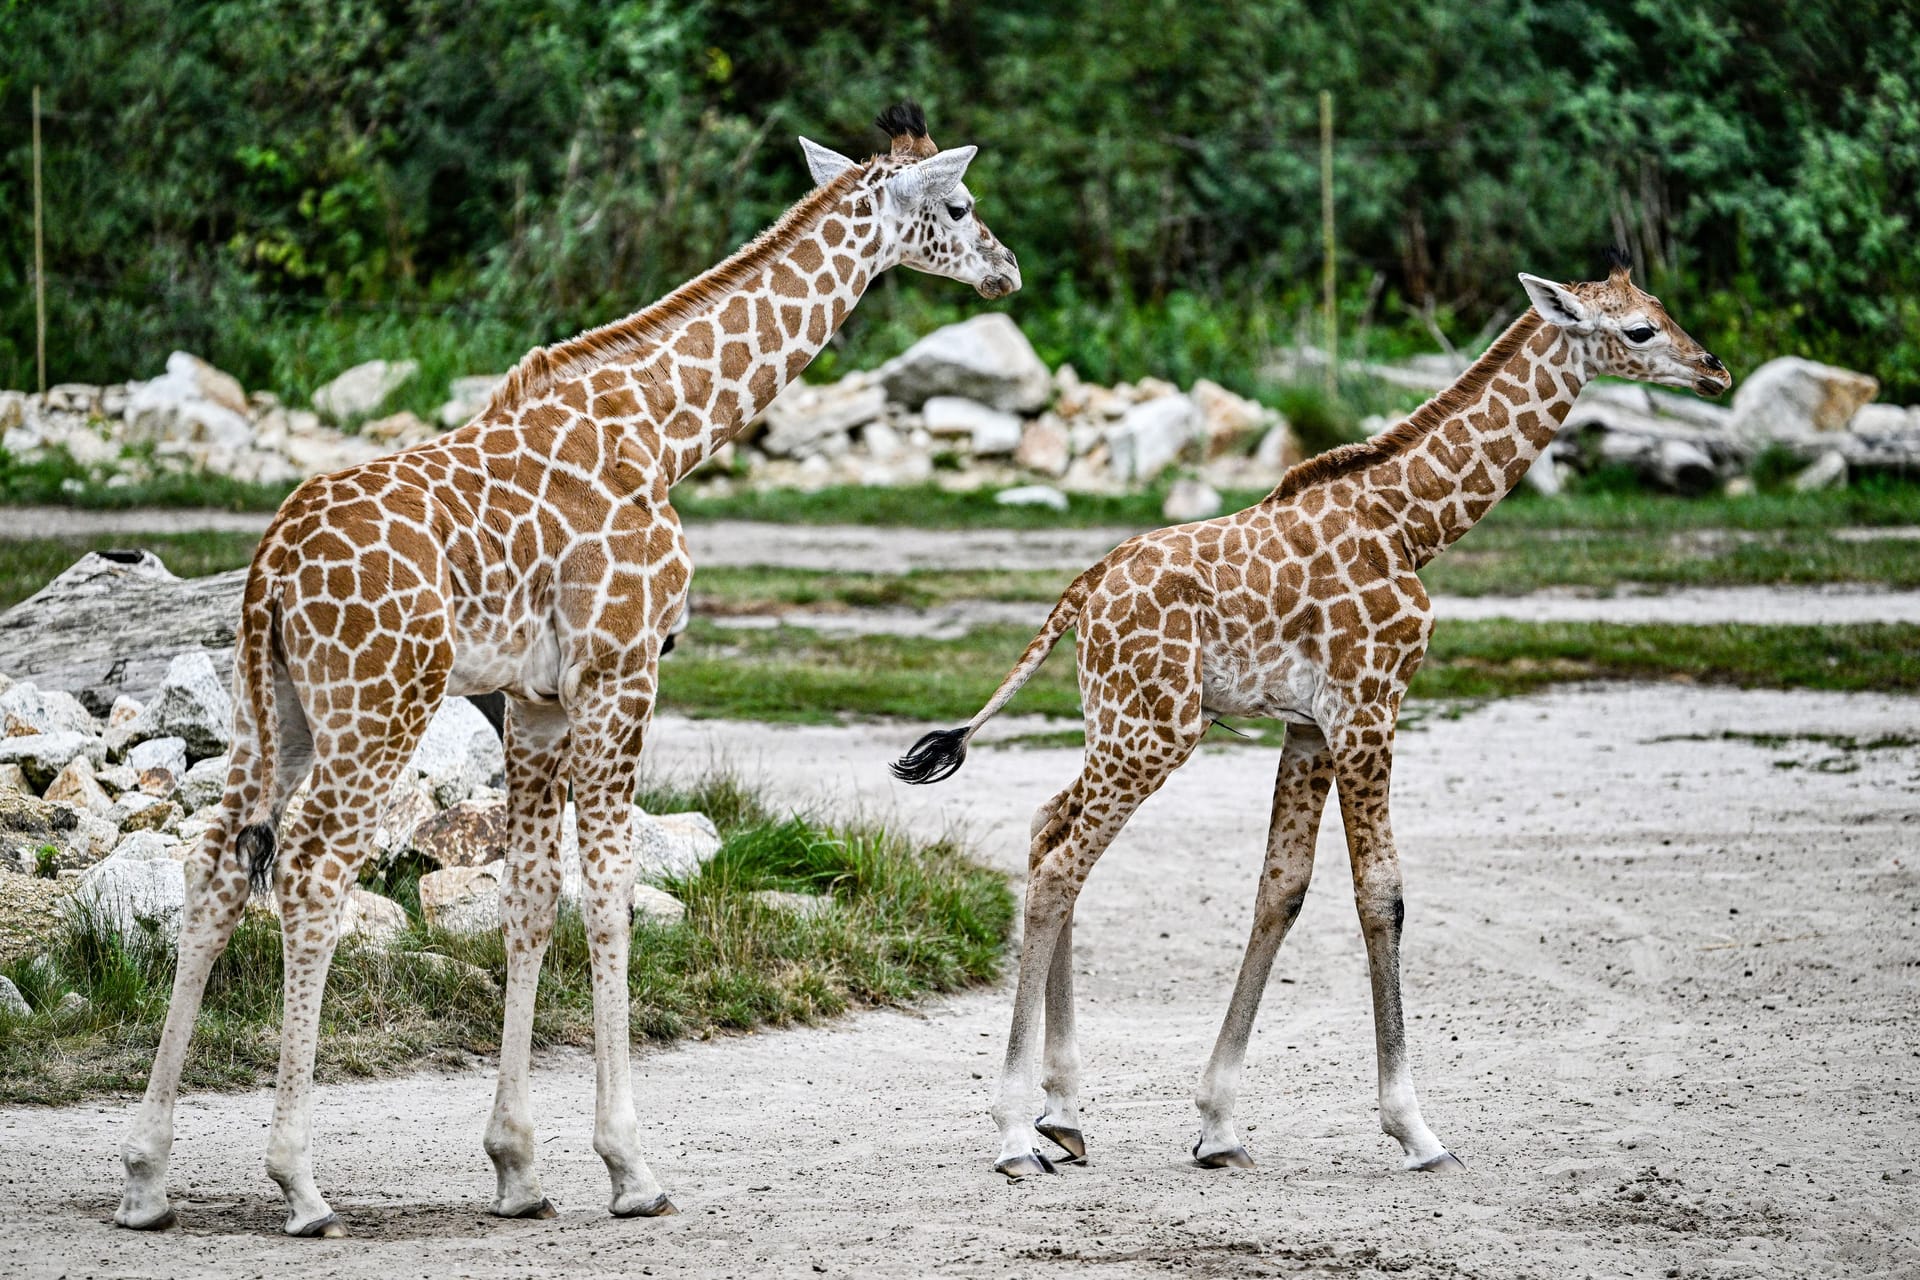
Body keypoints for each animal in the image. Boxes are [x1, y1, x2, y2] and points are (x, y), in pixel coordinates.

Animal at [114, 102, 1021, 1243]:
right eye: (962, 204)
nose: (1007, 271)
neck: (666, 430)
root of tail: (272, 566)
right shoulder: (621, 667)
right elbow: (615, 886)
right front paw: (632, 1166)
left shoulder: (537, 699)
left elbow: (532, 895)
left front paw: (517, 1167)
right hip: (380, 699)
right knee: (313, 867)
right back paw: (301, 1185)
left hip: (271, 703)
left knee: (214, 859)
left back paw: (146, 1177)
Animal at [890, 257, 1735, 1182]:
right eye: (1640, 330)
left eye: (1660, 310)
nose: (1715, 370)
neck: (1413, 522)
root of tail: (1081, 592)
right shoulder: (1371, 704)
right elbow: (1382, 895)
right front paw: (1415, 1130)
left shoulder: (1310, 725)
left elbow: (1282, 890)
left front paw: (1219, 1126)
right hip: (1155, 729)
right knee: (1059, 867)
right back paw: (1014, 1135)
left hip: (1118, 718)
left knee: (1049, 826)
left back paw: (1064, 1117)